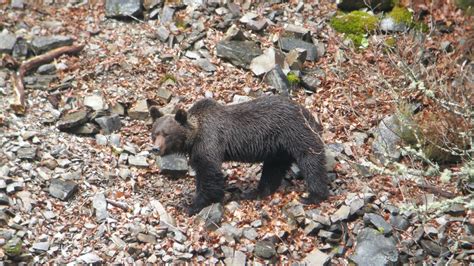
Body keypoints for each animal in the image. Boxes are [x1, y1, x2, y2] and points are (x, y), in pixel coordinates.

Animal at [150, 94, 328, 215]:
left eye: (167, 134)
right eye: (155, 133)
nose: (155, 149)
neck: (194, 136)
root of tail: (308, 113)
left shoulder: (209, 141)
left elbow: (209, 174)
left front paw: (191, 205)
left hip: (295, 132)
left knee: (311, 159)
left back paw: (313, 195)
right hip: (278, 148)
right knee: (273, 169)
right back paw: (255, 192)